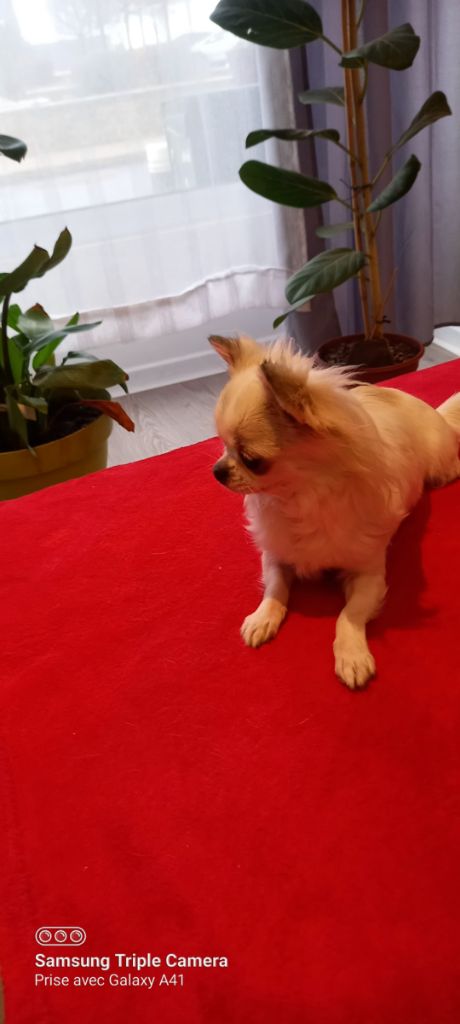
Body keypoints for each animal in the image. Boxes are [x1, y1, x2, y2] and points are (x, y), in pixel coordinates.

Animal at [209, 333, 460, 688]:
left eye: (251, 460)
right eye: (222, 444)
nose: (217, 471)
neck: (298, 498)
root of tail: (434, 412)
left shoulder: (369, 576)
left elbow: (348, 615)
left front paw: (352, 655)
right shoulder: (276, 555)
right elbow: (275, 589)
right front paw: (263, 618)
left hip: (440, 470)